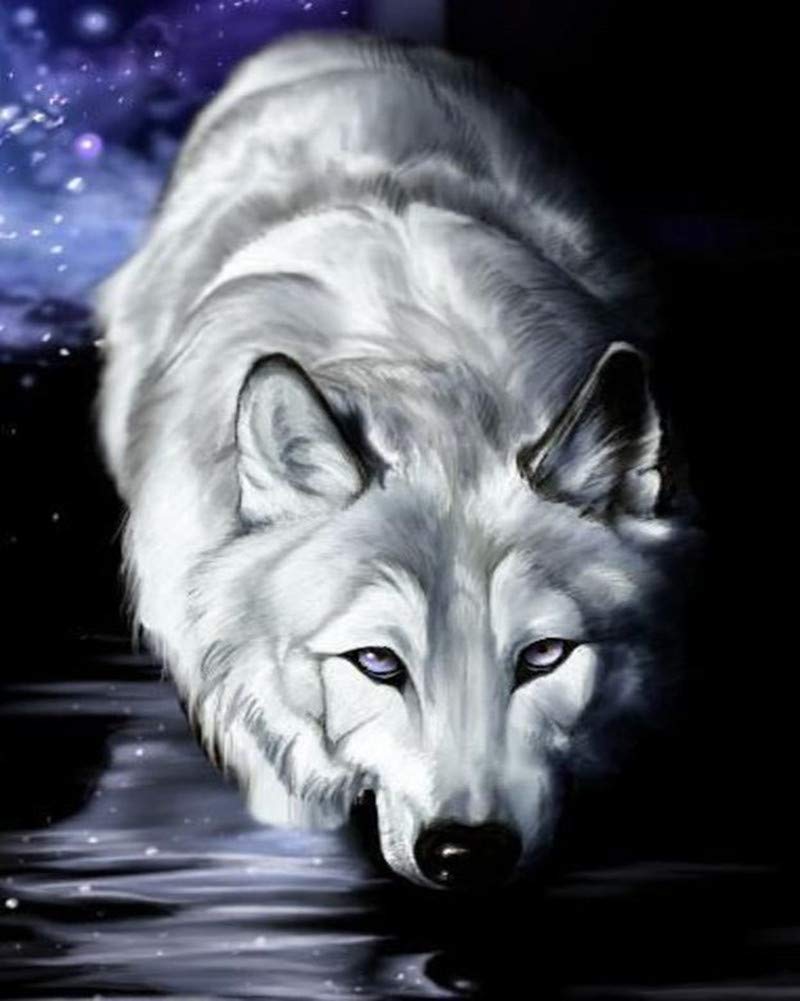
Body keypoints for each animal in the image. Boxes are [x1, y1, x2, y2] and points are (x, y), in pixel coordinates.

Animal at [96, 31, 698, 890]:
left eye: (544, 655)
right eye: (378, 662)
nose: (467, 852)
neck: (435, 388)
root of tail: (340, 37)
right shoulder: (263, 734)